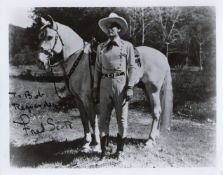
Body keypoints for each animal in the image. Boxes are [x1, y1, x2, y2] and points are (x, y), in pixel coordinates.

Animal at [38, 15, 172, 151]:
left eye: (49, 37)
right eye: (40, 36)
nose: (40, 61)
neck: (78, 60)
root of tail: (163, 57)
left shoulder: (87, 99)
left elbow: (92, 120)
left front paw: (96, 144)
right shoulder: (78, 99)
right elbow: (84, 120)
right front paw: (86, 143)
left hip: (153, 90)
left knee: (156, 112)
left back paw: (150, 140)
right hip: (146, 89)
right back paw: (154, 138)